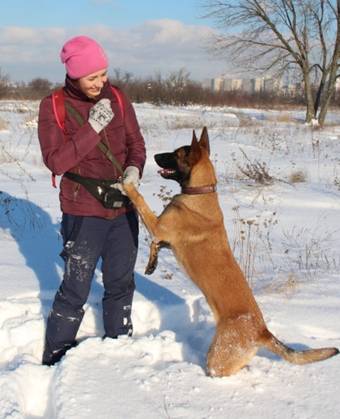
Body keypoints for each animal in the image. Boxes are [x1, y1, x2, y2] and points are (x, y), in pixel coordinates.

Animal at [123, 127, 338, 378]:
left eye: (176, 154)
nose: (154, 155)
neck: (200, 192)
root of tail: (262, 331)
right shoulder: (164, 237)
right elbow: (155, 245)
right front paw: (151, 264)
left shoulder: (157, 226)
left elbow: (139, 201)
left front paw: (126, 184)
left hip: (217, 360)